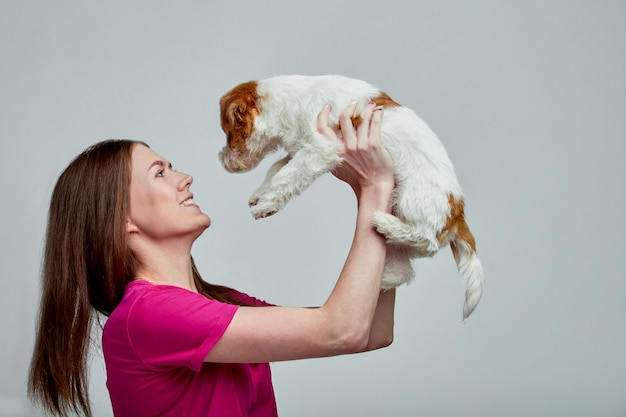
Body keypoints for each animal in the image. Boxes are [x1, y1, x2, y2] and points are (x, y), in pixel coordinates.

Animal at [218, 75, 482, 320]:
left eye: (229, 133)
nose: (221, 161)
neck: (295, 100)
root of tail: (458, 214)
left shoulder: (319, 149)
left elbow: (287, 176)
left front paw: (265, 204)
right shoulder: (300, 150)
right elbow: (277, 169)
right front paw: (260, 195)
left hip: (412, 199)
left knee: (427, 238)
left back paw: (385, 223)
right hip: (397, 234)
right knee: (404, 271)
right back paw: (379, 278)